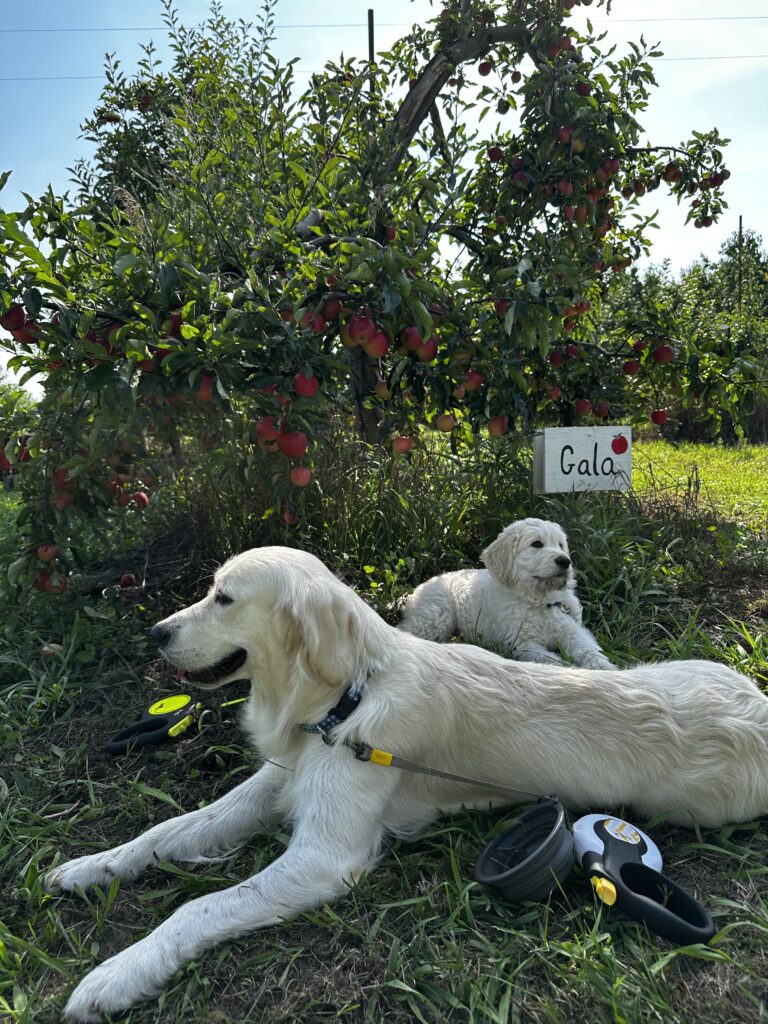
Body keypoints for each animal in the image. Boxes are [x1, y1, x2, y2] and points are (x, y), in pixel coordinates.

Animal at [47, 546, 768, 1022]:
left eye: (224, 597)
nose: (155, 632)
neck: (344, 699)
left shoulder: (326, 855)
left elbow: (200, 905)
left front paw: (117, 974)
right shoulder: (277, 785)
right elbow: (167, 830)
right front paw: (89, 867)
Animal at [398, 518, 614, 669]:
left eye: (560, 545)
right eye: (537, 544)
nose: (565, 561)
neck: (538, 601)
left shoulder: (571, 631)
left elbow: (588, 648)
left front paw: (604, 667)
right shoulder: (522, 642)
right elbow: (550, 659)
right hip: (435, 616)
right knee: (407, 630)